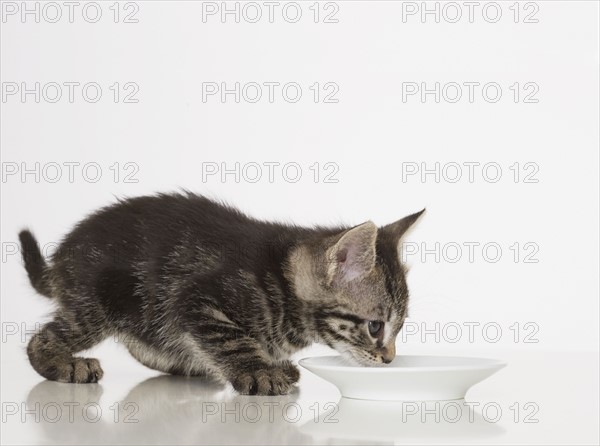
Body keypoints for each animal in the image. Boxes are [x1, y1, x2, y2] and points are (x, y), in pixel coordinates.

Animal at [17, 193, 422, 396]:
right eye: (375, 326)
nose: (389, 359)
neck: (281, 281)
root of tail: (61, 260)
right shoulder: (197, 300)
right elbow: (232, 340)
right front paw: (258, 371)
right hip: (100, 302)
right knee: (42, 340)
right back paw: (65, 364)